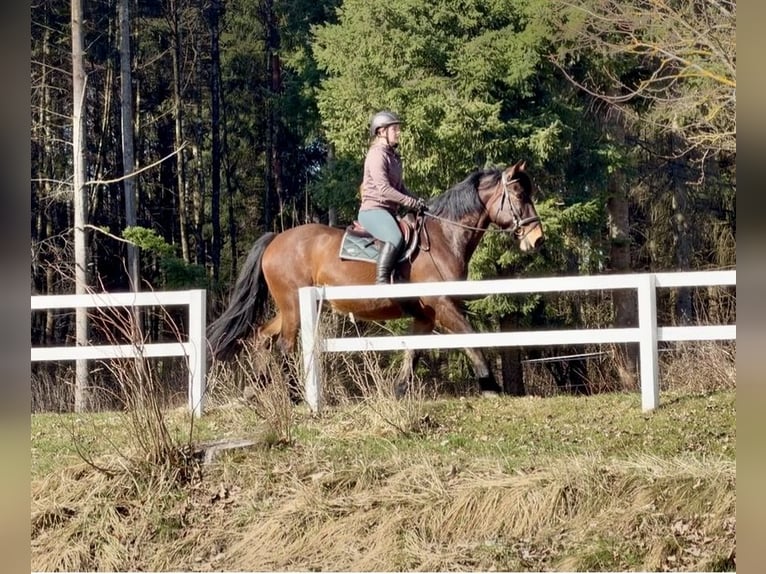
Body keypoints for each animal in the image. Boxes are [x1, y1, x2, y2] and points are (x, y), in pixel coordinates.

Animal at [207, 160, 544, 396]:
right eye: (518, 194)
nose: (538, 238)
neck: (444, 236)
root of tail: (275, 240)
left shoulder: (425, 315)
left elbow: (413, 352)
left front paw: (399, 390)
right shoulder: (444, 305)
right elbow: (471, 338)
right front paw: (490, 386)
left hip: (293, 307)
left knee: (262, 336)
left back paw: (255, 387)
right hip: (294, 306)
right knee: (285, 346)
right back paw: (293, 394)